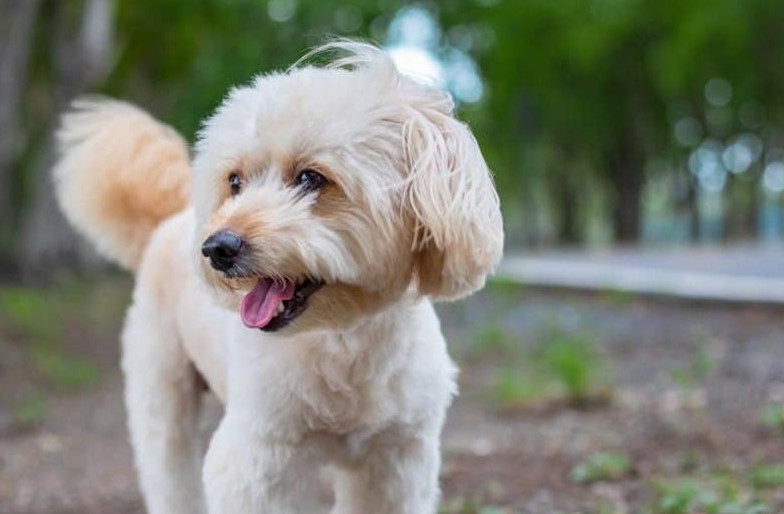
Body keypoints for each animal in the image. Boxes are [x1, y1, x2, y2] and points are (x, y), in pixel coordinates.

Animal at [55, 42, 506, 510]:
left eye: (310, 177)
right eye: (235, 181)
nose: (217, 248)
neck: (342, 341)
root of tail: (171, 218)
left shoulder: (396, 460)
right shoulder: (258, 459)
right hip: (161, 392)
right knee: (169, 469)